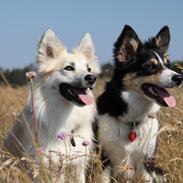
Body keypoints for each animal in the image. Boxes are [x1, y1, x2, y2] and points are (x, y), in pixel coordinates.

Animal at [97, 25, 183, 182]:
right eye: (151, 67)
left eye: (167, 65)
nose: (179, 78)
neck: (133, 120)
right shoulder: (105, 157)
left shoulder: (146, 162)